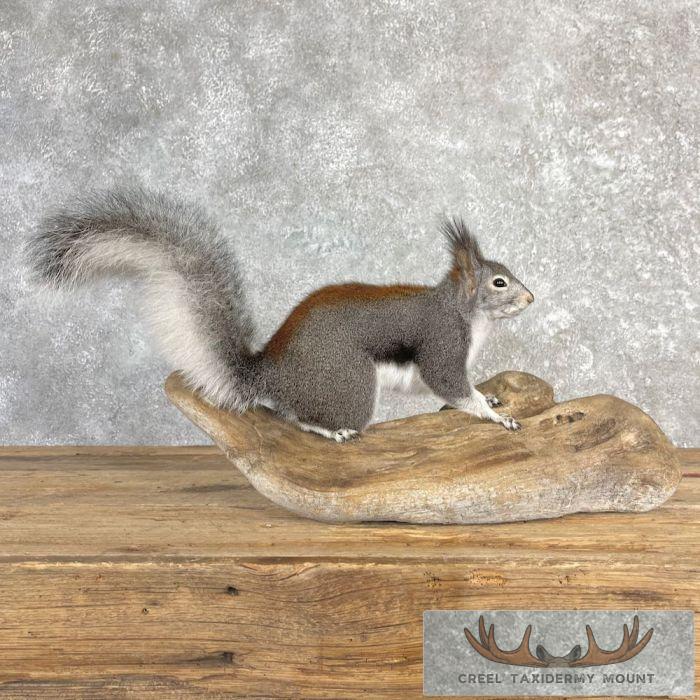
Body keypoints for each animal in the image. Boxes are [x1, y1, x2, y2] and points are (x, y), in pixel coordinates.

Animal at [28, 187, 534, 442]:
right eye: (500, 282)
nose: (531, 298)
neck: (467, 314)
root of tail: (273, 374)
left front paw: (489, 399)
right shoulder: (442, 342)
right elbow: (448, 383)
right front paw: (492, 416)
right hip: (349, 382)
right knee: (296, 416)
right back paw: (330, 429)